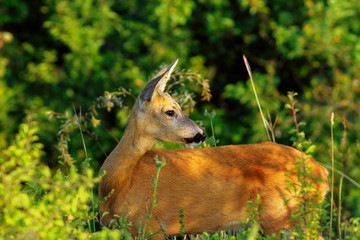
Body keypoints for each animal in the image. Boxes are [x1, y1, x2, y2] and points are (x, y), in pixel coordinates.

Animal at [99, 59, 330, 238]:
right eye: (170, 111)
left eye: (178, 107)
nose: (201, 134)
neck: (119, 183)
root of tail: (322, 172)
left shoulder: (151, 225)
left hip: (284, 216)